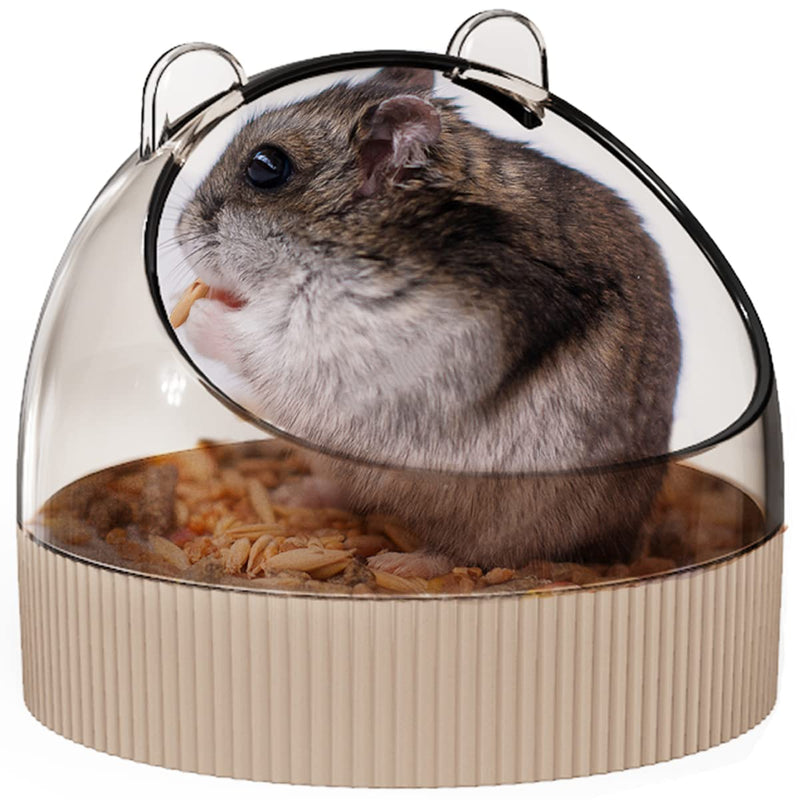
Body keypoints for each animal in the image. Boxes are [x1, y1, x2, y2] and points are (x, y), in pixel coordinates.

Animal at [176, 66, 681, 574]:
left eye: (265, 166)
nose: (178, 232)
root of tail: (625, 538)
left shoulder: (354, 336)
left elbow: (263, 340)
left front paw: (198, 314)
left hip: (506, 507)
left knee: (473, 555)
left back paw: (401, 565)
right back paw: (294, 494)